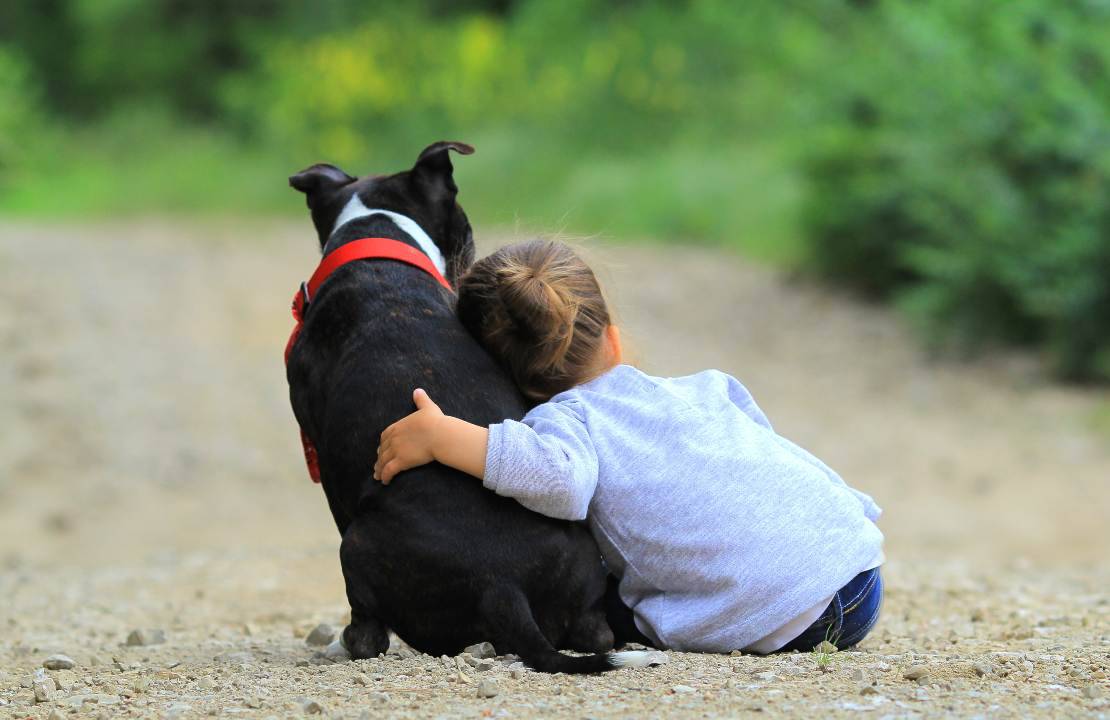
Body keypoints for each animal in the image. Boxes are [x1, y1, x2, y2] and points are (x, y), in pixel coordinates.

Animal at [284, 142, 657, 674]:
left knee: (370, 635)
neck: (376, 238)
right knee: (595, 632)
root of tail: (502, 586)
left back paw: (344, 643)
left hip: (352, 544)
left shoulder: (325, 461)